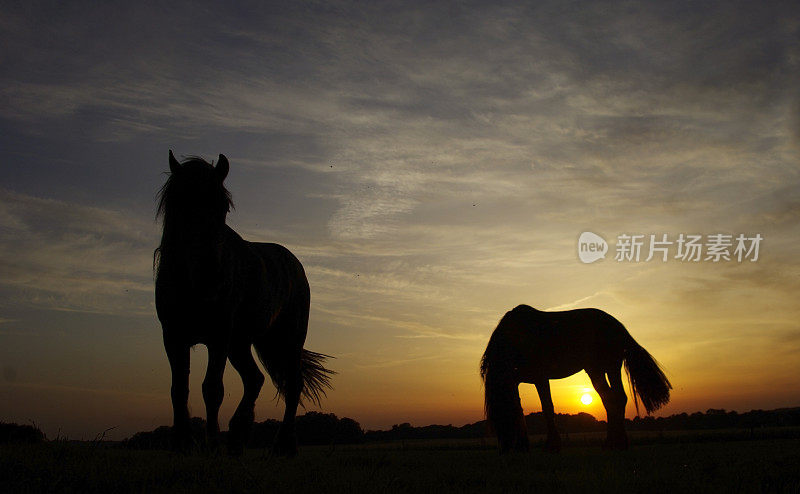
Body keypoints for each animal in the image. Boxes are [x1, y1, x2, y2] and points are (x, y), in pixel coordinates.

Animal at [155, 150, 332, 456]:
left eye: (223, 206)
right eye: (179, 202)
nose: (211, 275)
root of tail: (295, 264)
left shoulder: (218, 335)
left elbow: (212, 388)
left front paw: (212, 444)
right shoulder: (173, 335)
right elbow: (179, 388)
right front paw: (182, 443)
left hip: (286, 340)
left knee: (292, 384)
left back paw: (283, 444)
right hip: (240, 343)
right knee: (254, 378)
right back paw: (238, 435)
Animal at [478, 306, 672, 454]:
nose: (506, 449)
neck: (515, 340)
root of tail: (618, 326)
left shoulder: (541, 378)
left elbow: (547, 407)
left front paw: (552, 446)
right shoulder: (515, 380)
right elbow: (520, 407)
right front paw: (523, 445)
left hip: (607, 367)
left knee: (615, 398)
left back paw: (617, 443)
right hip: (600, 370)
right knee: (612, 399)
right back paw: (613, 443)